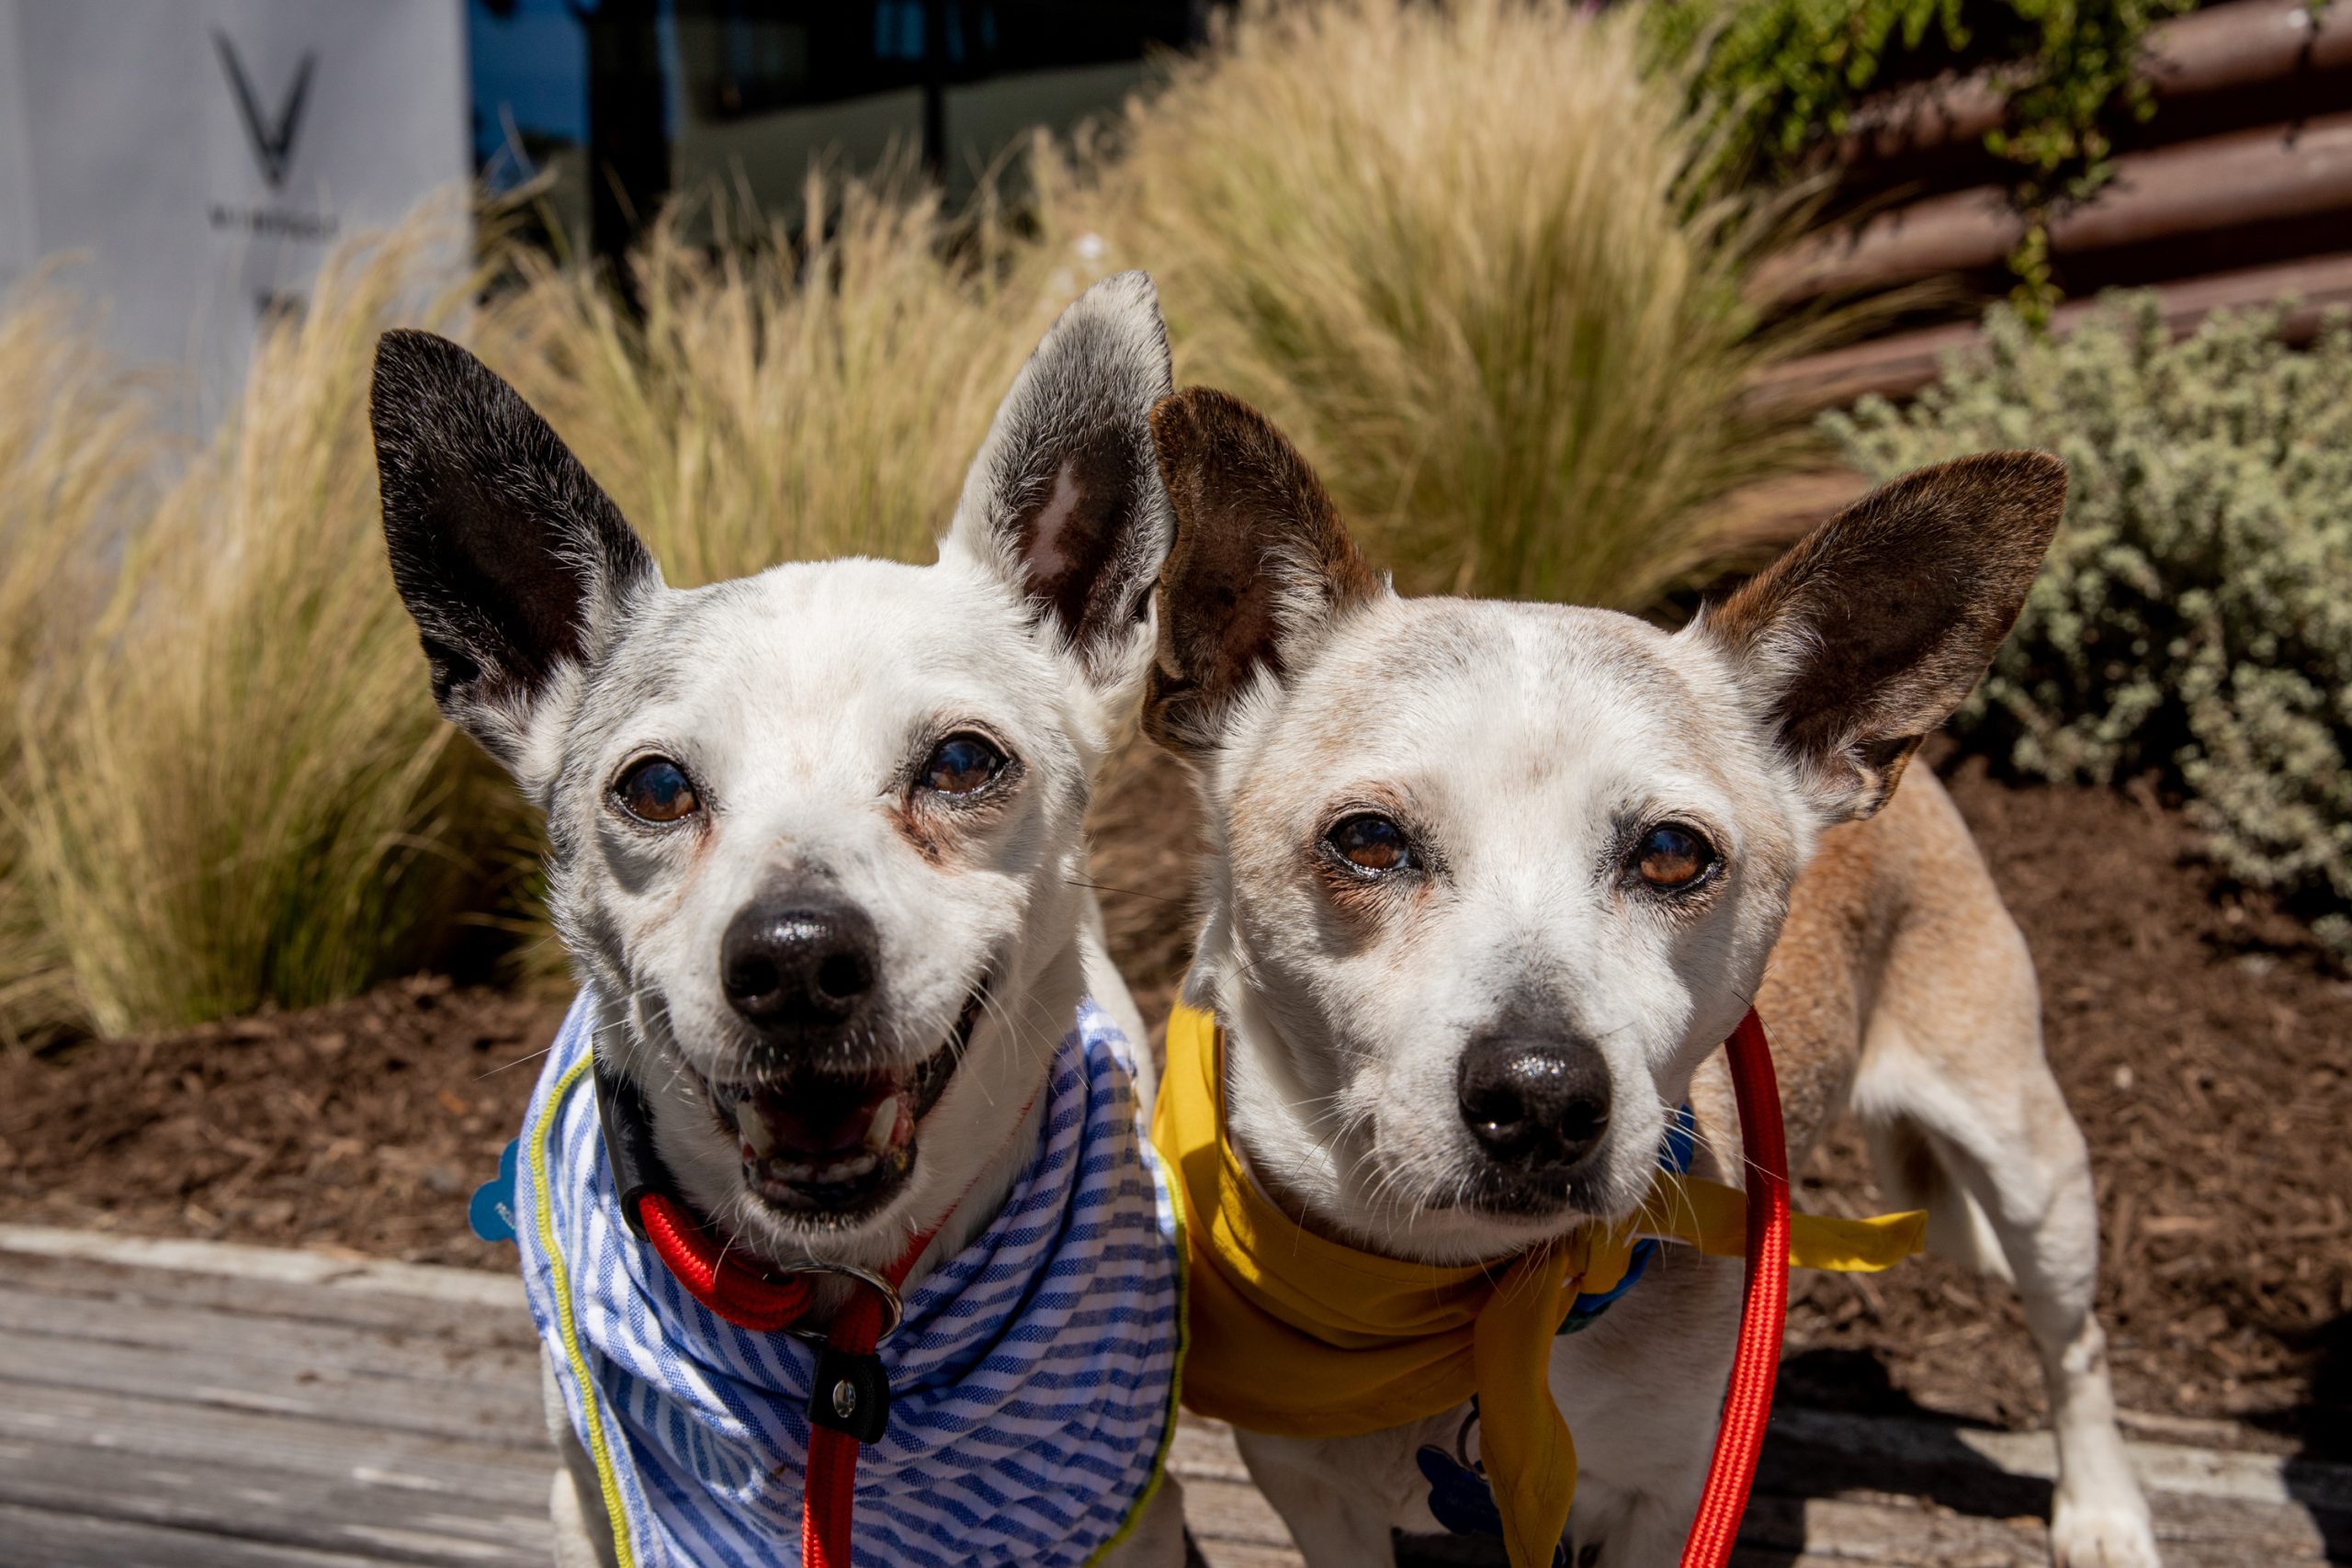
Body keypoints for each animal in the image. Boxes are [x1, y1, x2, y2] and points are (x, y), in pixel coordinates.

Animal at [1133, 389, 2154, 1568]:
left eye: (1671, 854)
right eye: (1369, 841)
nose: (1540, 1095)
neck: (1460, 1304)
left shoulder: (1665, 1502)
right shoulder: (1310, 1494)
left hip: (2027, 1160)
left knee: (2075, 1343)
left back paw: (2103, 1509)